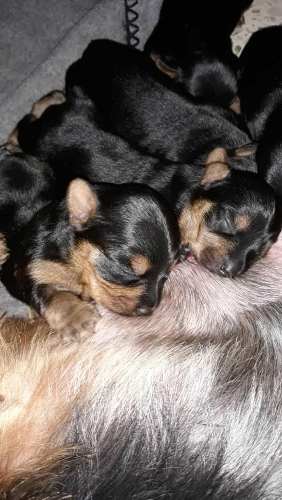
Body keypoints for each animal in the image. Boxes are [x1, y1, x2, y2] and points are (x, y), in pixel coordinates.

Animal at [0, 178, 178, 338]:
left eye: (166, 275)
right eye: (126, 269)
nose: (149, 310)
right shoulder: (27, 266)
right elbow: (49, 291)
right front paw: (75, 317)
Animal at [12, 89, 280, 278]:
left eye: (259, 253)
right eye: (226, 222)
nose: (231, 270)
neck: (184, 195)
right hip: (37, 140)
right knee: (25, 122)